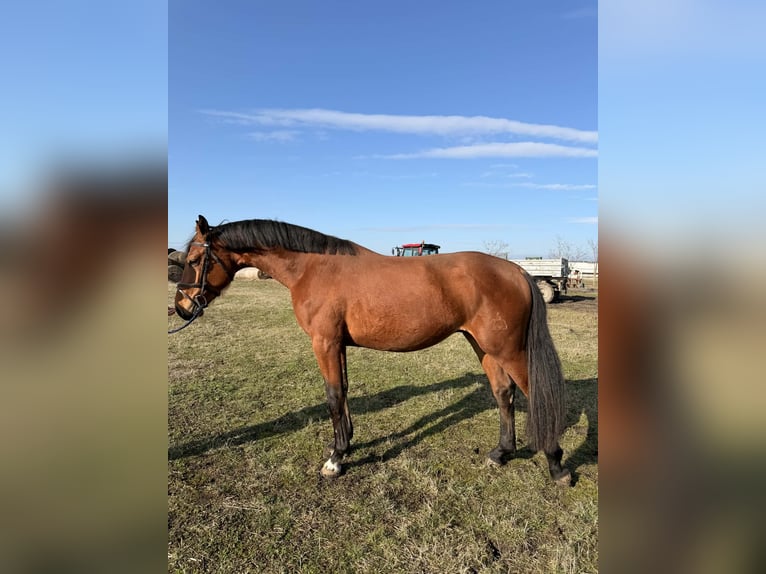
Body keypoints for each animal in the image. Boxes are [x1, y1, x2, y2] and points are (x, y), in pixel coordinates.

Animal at [171, 215, 570, 484]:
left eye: (194, 261)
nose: (182, 308)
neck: (314, 268)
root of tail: (517, 272)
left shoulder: (324, 343)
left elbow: (332, 396)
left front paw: (334, 460)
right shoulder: (338, 344)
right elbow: (344, 393)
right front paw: (346, 444)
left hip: (509, 350)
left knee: (536, 395)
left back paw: (556, 465)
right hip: (484, 346)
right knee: (504, 394)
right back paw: (501, 453)